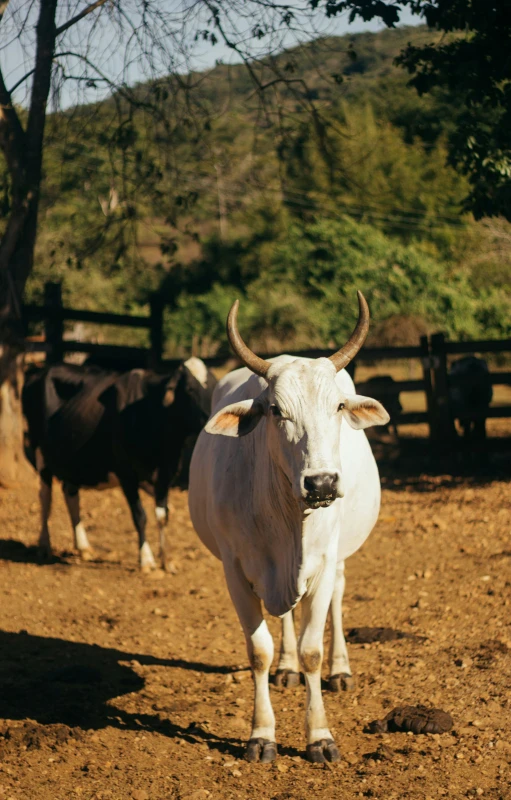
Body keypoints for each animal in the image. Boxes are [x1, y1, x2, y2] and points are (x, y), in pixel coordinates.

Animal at [23, 356, 216, 568]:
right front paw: (146, 559)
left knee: (70, 494)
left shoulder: (167, 472)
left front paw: (166, 560)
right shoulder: (127, 474)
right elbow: (140, 516)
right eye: (189, 388)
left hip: (72, 459)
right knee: (45, 498)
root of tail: (41, 371)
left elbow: (162, 516)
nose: (210, 417)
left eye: (215, 386)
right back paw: (44, 545)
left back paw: (83, 547)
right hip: (40, 453)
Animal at [190, 292, 390, 764]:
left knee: (337, 598)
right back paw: (286, 668)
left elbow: (312, 649)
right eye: (276, 410)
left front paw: (320, 736)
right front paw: (262, 734)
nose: (322, 483)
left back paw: (341, 669)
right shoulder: (235, 570)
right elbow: (258, 651)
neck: (286, 519)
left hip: (339, 555)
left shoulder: (322, 562)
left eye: (338, 406)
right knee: (282, 618)